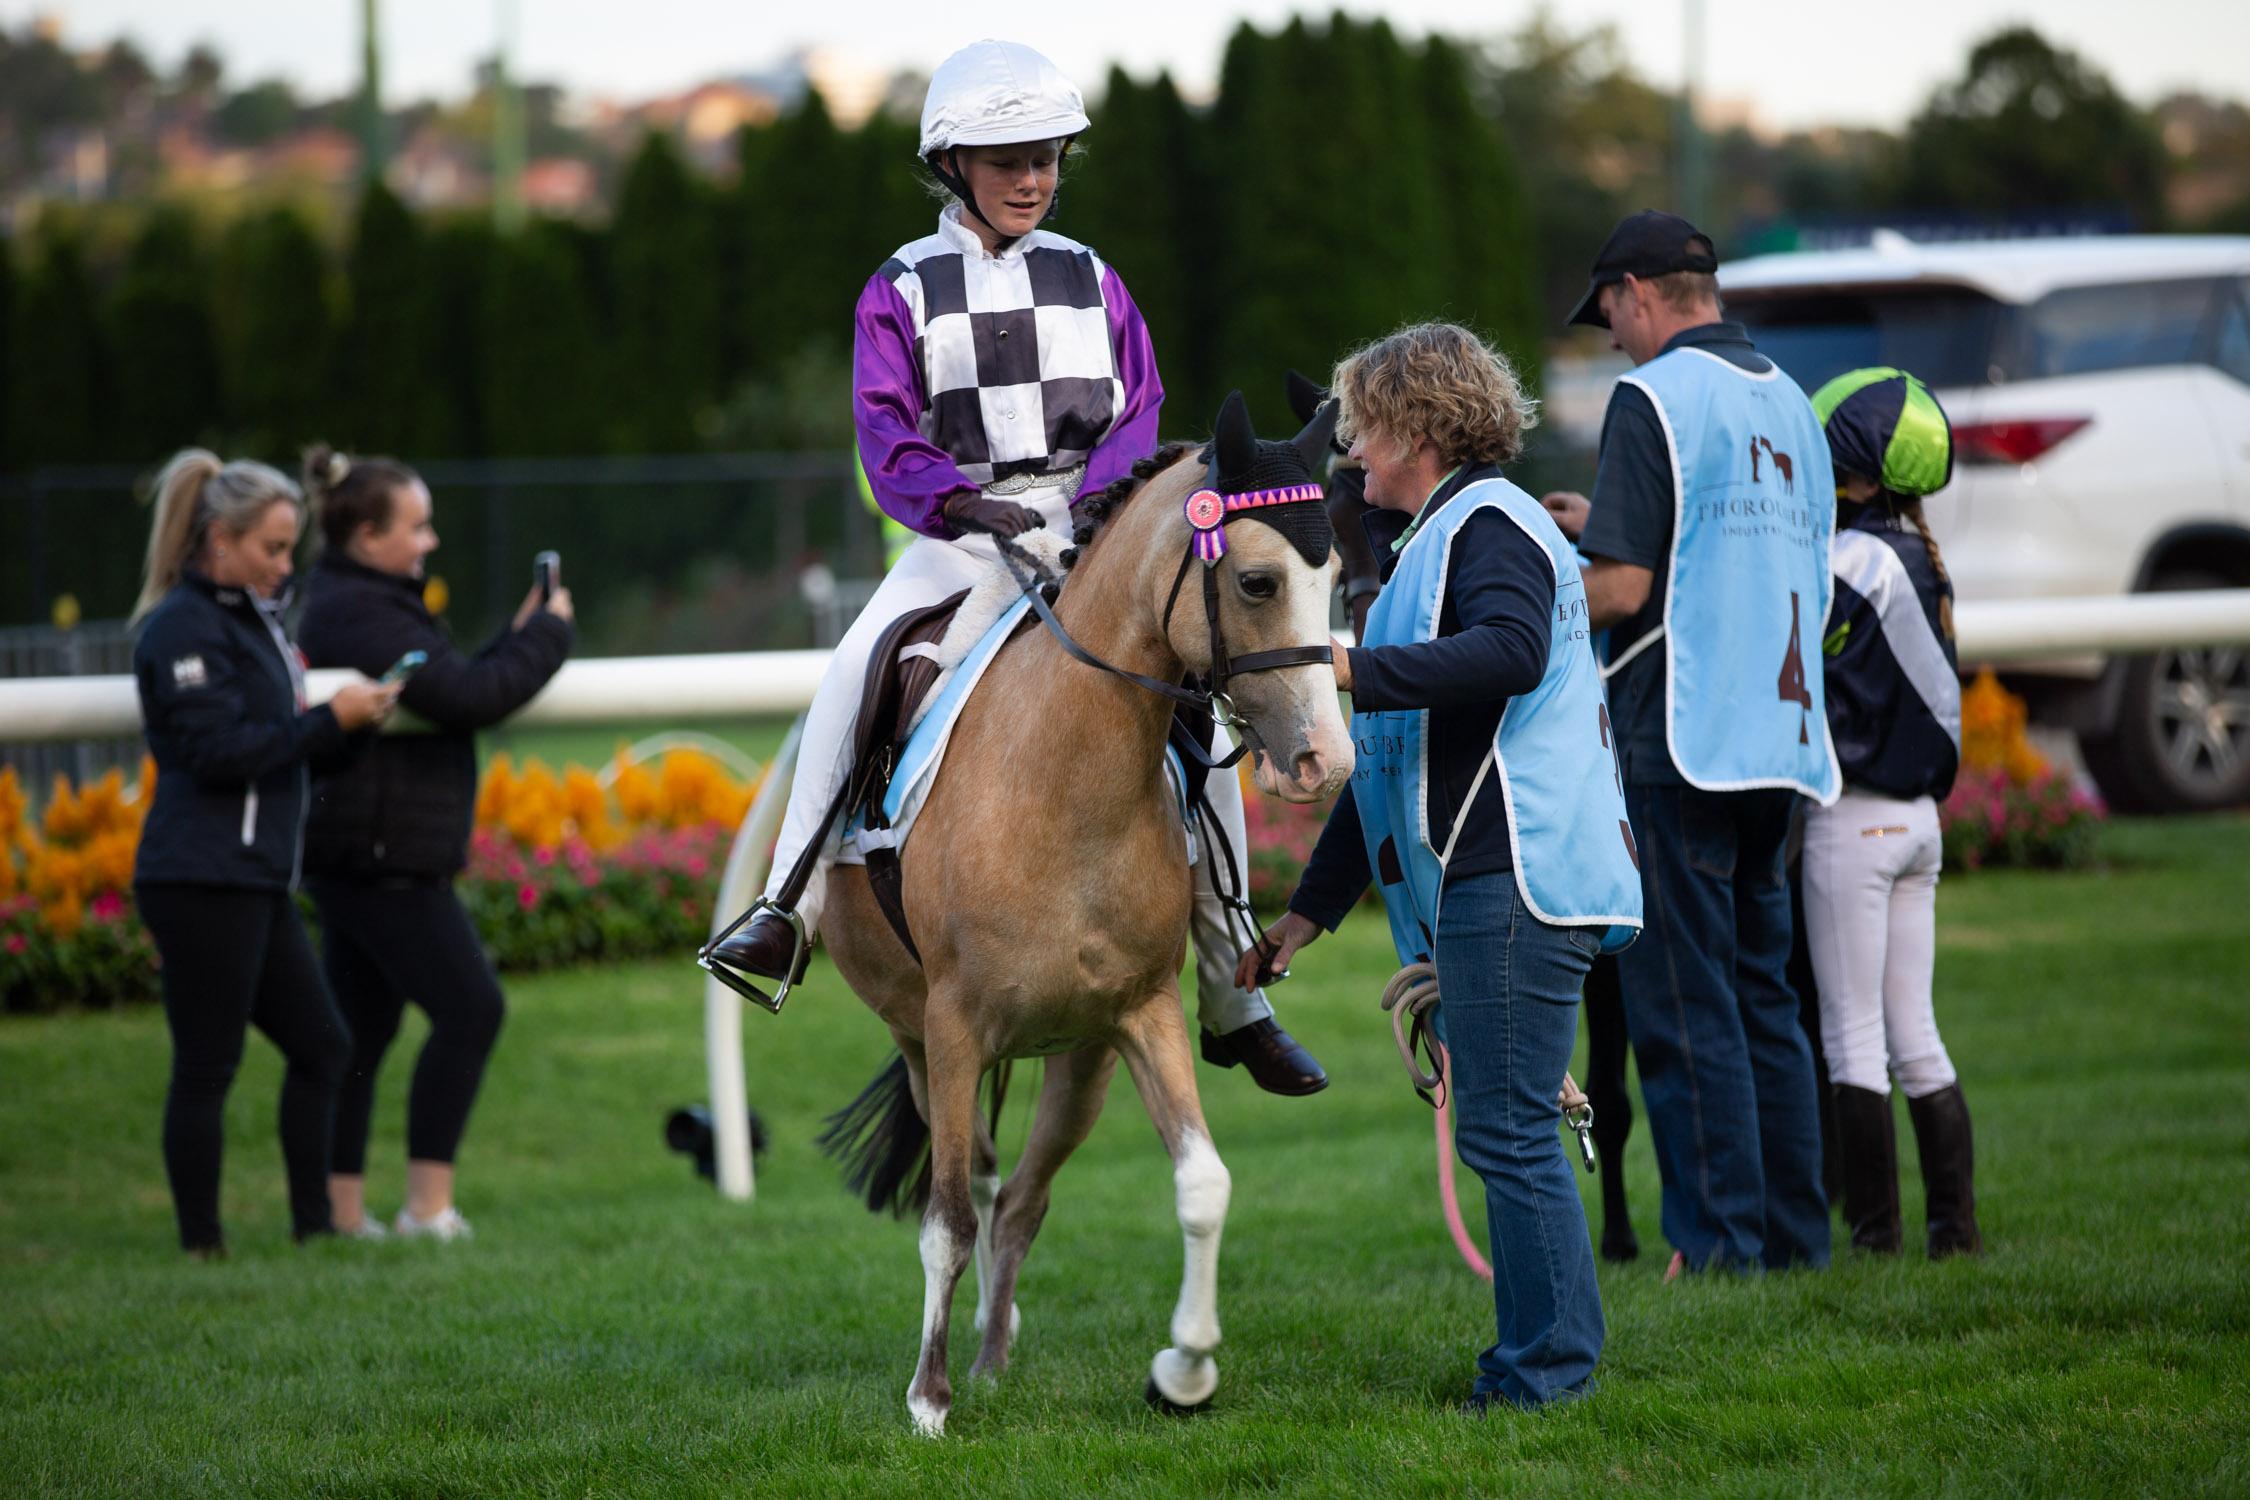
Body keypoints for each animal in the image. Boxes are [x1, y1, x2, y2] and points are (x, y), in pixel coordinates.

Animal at [815, 395, 1352, 1435]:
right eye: (1259, 580)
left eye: (1338, 578)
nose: (1326, 762)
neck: (1060, 785)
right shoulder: (952, 1027)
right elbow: (945, 1218)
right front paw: (928, 1400)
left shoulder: (1141, 1014)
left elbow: (1202, 1185)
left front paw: (1185, 1367)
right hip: (918, 1041)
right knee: (979, 1186)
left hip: (1078, 1063)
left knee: (1021, 1198)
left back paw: (994, 1351)